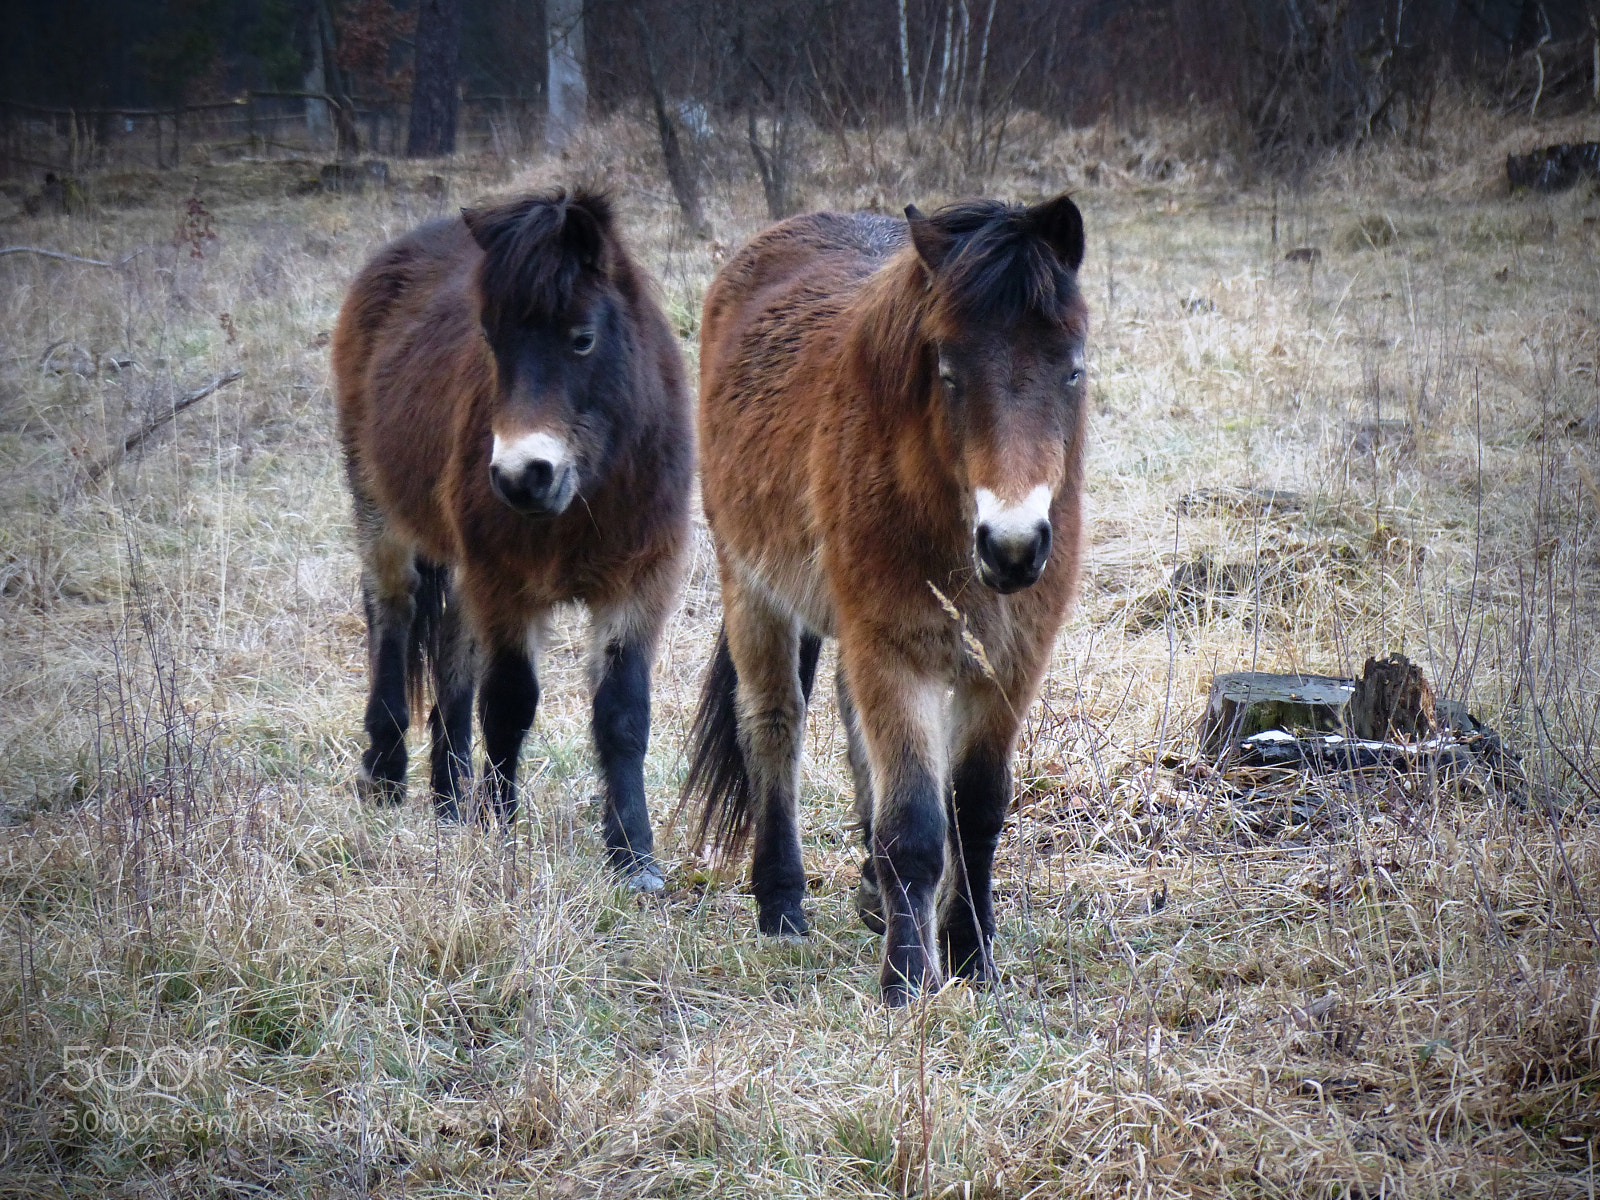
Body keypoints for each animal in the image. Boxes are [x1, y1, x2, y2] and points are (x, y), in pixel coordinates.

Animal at [332, 189, 693, 891]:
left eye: (582, 339)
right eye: (491, 340)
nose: (521, 477)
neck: (589, 492)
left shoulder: (638, 585)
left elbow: (623, 715)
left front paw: (633, 856)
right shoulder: (505, 585)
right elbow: (509, 704)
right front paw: (502, 834)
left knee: (450, 650)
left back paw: (448, 800)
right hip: (380, 511)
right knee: (392, 614)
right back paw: (387, 775)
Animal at [685, 195, 1088, 1002]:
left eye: (1071, 369)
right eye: (948, 371)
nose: (1013, 546)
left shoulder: (1008, 667)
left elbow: (977, 811)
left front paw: (971, 957)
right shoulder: (895, 653)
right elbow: (916, 826)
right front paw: (908, 983)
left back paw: (874, 896)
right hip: (752, 589)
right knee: (773, 724)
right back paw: (781, 904)